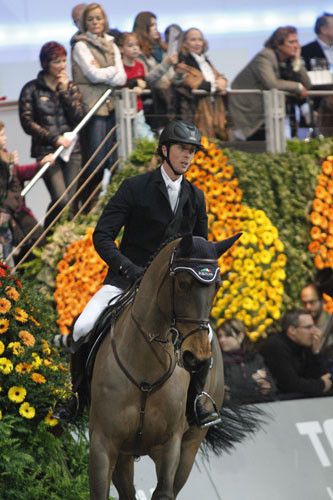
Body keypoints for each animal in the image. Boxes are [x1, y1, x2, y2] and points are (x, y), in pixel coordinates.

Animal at [88, 233, 239, 500]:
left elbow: (164, 490)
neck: (145, 373)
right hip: (124, 454)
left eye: (218, 286)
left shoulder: (170, 447)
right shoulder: (103, 443)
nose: (197, 358)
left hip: (190, 445)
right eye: (183, 284)